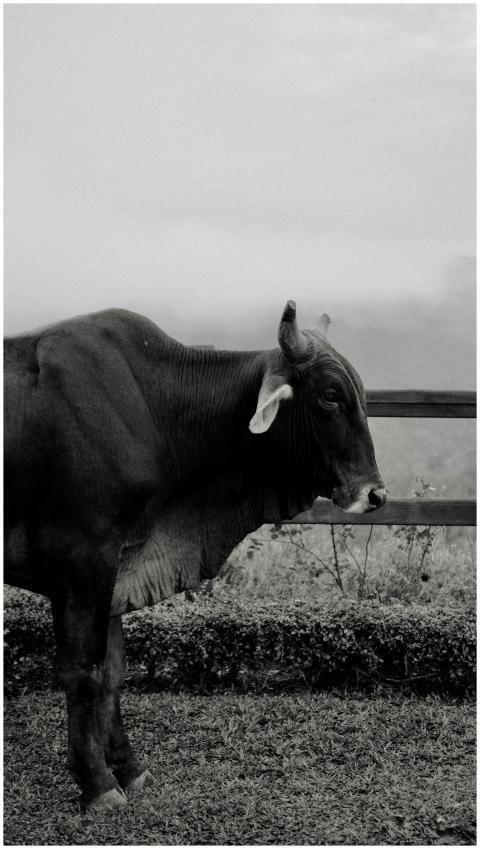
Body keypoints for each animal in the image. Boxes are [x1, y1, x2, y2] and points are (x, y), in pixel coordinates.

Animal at [4, 300, 386, 810]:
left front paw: (129, 768)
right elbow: (82, 671)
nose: (376, 494)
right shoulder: (83, 562)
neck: (157, 408)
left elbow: (113, 670)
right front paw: (97, 783)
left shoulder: (119, 563)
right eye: (329, 396)